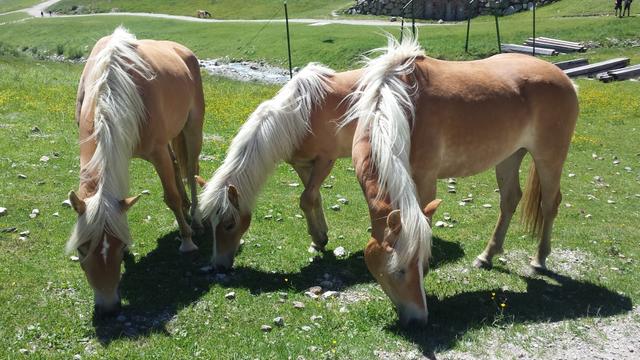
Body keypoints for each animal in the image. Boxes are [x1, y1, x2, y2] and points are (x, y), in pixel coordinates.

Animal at [68, 26, 204, 316]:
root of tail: (182, 50)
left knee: (190, 171)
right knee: (179, 166)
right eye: (82, 248)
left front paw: (187, 242)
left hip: (192, 129)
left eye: (119, 249)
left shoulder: (157, 152)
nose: (108, 307)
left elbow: (170, 197)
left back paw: (195, 218)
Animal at [198, 64, 362, 270]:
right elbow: (315, 198)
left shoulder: (325, 162)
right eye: (210, 223)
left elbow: (306, 199)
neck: (302, 116)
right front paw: (320, 239)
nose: (218, 265)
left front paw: (318, 239)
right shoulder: (302, 164)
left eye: (229, 224)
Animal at [348, 37, 576, 326]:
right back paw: (486, 256)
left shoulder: (425, 179)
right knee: (510, 200)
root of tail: (564, 78)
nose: (419, 319)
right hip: (510, 156)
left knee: (549, 204)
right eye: (397, 270)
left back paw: (539, 259)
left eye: (416, 264)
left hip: (549, 158)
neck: (400, 106)